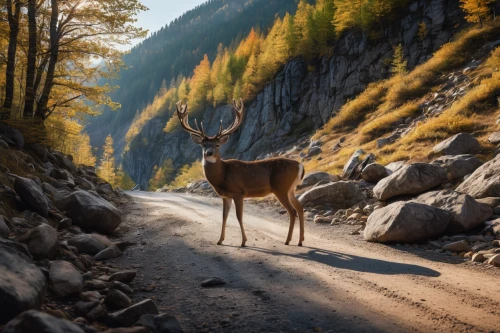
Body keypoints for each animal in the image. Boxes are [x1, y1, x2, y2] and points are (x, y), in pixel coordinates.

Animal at [178, 98, 306, 246]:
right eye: (203, 145)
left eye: (217, 145)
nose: (209, 153)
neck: (223, 175)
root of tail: (300, 165)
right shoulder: (225, 196)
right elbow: (224, 216)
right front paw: (220, 240)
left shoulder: (238, 192)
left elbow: (239, 216)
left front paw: (244, 241)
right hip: (290, 189)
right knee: (300, 207)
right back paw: (300, 240)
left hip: (281, 188)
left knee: (292, 211)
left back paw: (288, 240)